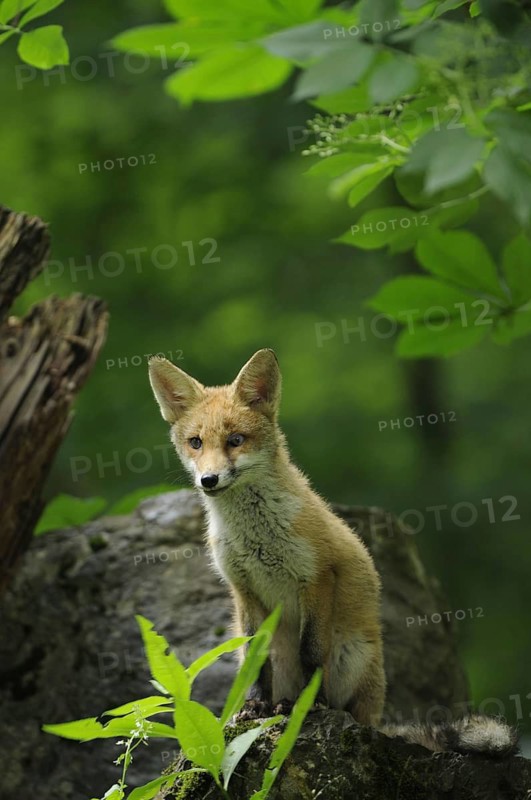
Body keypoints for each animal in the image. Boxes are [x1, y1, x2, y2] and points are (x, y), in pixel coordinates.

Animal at [148, 348, 517, 757]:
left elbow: (312, 653)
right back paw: (277, 705)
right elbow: (256, 662)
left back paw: (312, 708)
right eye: (196, 442)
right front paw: (256, 706)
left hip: (353, 656)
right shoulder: (243, 590)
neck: (257, 536)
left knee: (350, 706)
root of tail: (376, 717)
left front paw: (312, 706)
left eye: (236, 440)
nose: (208, 480)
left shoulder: (316, 577)